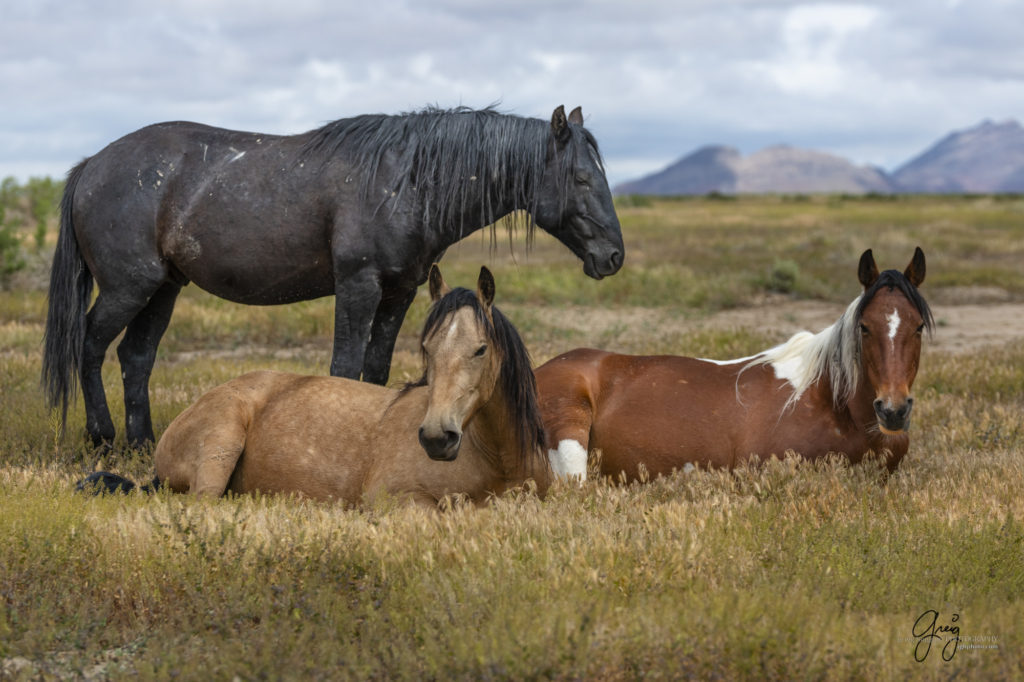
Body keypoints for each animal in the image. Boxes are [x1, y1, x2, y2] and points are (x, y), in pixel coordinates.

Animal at [41, 104, 622, 446]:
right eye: (580, 177)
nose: (613, 257)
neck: (405, 181)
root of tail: (92, 165)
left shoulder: (399, 291)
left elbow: (376, 369)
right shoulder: (359, 286)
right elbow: (344, 368)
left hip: (162, 288)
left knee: (135, 357)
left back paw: (142, 443)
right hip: (128, 287)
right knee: (90, 346)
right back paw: (102, 437)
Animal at [78, 266, 557, 503]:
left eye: (480, 349)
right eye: (425, 347)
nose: (437, 437)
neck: (495, 458)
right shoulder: (396, 500)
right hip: (219, 447)